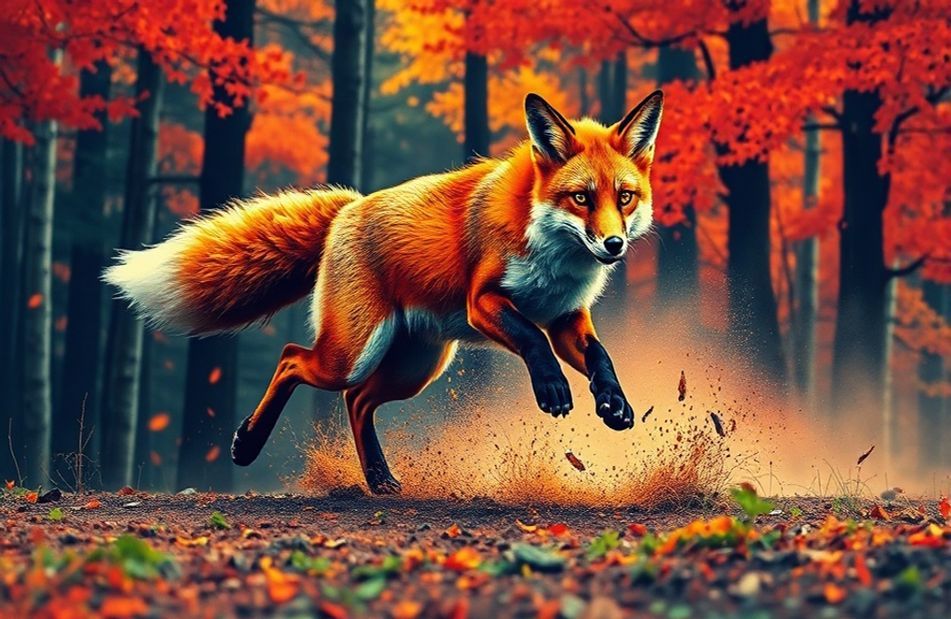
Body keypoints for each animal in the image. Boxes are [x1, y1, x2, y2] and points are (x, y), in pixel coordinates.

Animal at [105, 90, 664, 494]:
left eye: (625, 197)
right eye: (581, 198)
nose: (613, 245)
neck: (555, 259)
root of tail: (349, 207)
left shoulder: (568, 317)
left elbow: (600, 357)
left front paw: (614, 405)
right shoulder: (483, 302)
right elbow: (531, 338)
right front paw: (551, 388)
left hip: (416, 367)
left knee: (357, 401)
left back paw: (378, 479)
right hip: (353, 353)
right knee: (293, 359)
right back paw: (247, 444)